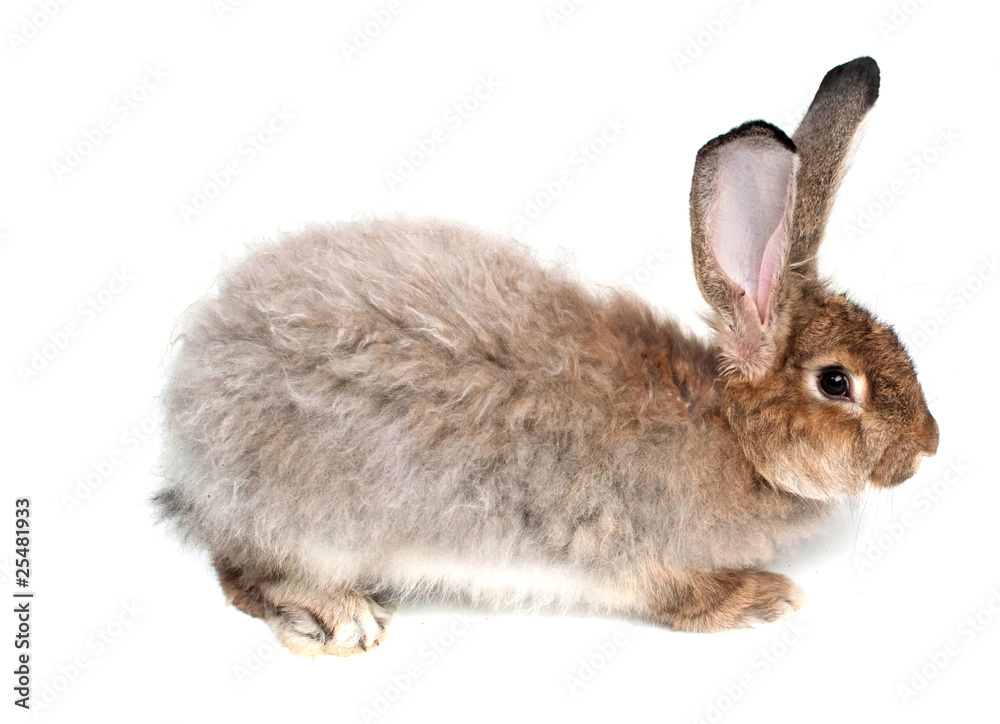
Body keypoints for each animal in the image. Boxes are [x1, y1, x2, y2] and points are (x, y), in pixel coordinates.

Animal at [154, 56, 939, 657]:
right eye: (836, 383)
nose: (928, 447)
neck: (732, 432)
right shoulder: (633, 545)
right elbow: (678, 597)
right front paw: (764, 599)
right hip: (308, 521)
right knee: (246, 574)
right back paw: (341, 619)